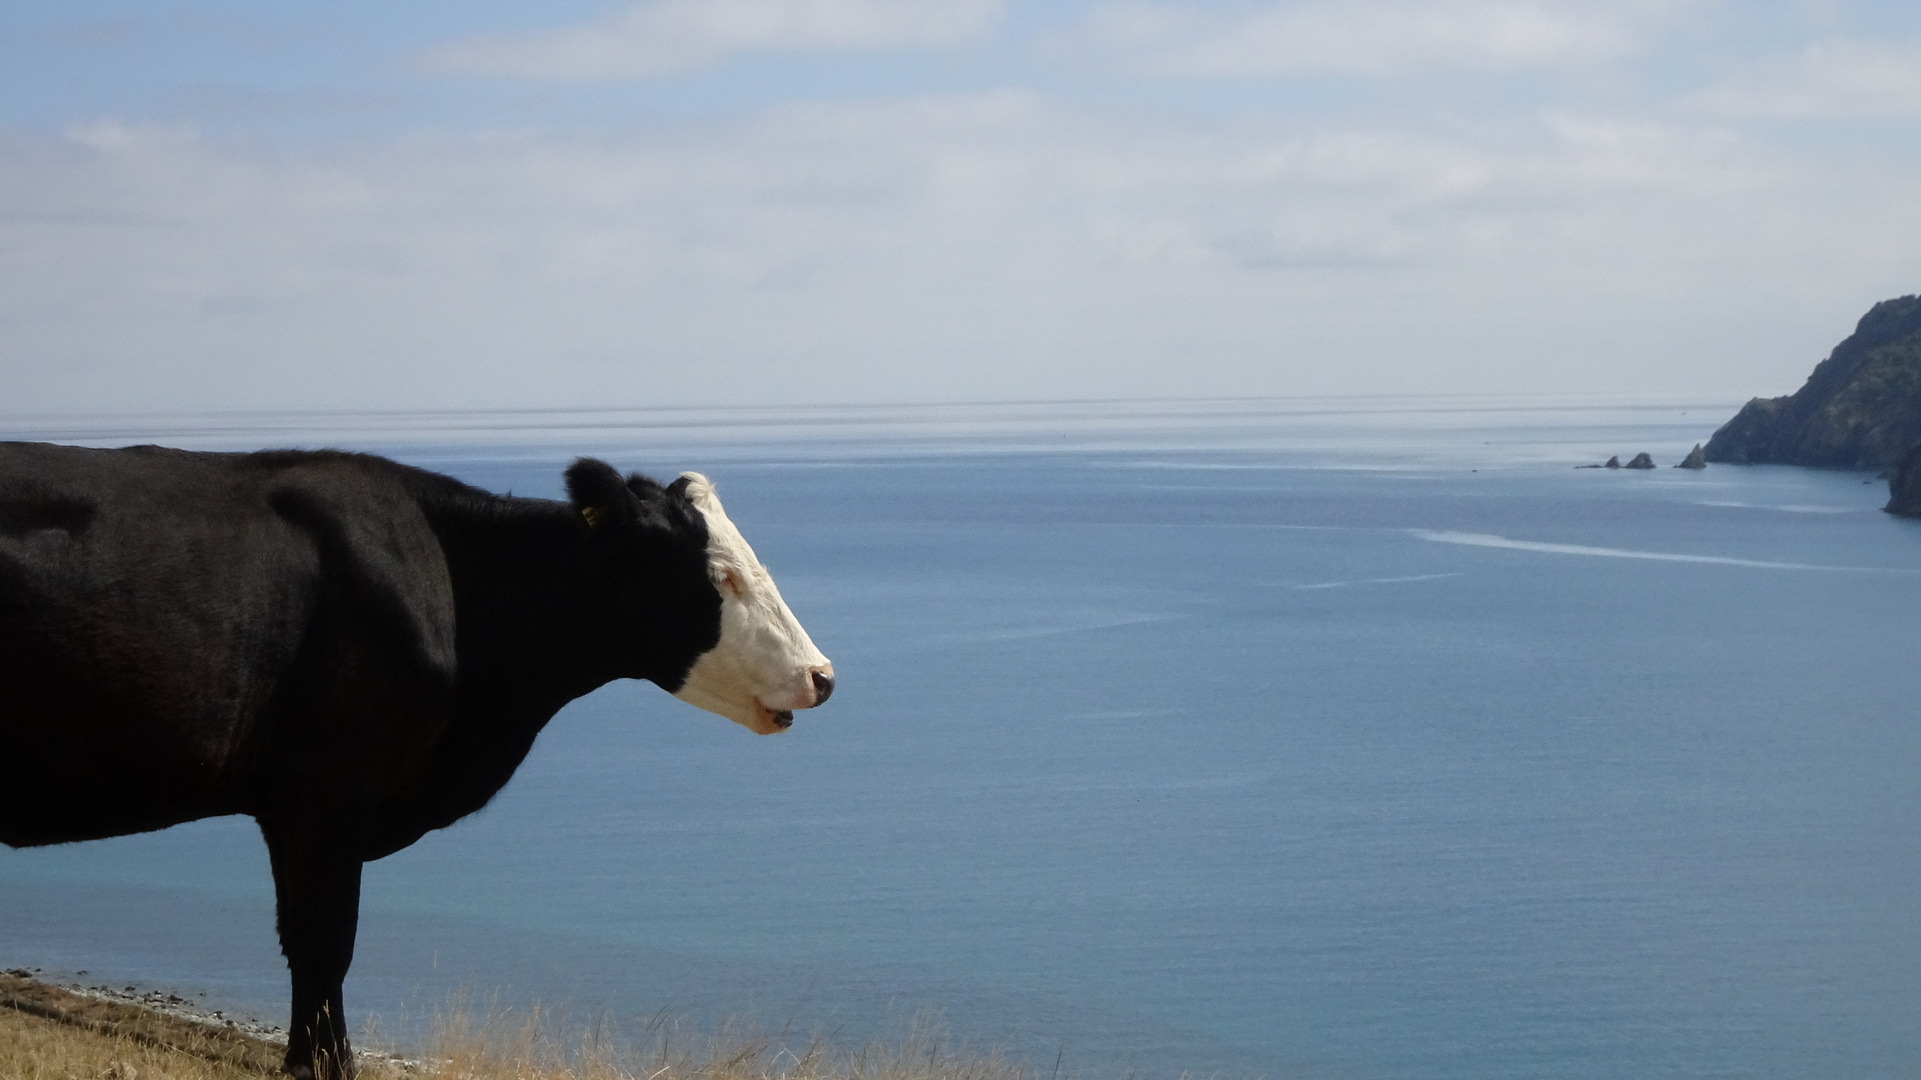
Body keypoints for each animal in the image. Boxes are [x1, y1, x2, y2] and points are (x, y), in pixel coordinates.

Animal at [0, 441, 833, 1068]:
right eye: (721, 577)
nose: (821, 677)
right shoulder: (328, 791)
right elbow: (324, 940)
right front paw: (326, 1064)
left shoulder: (299, 806)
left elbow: (303, 940)